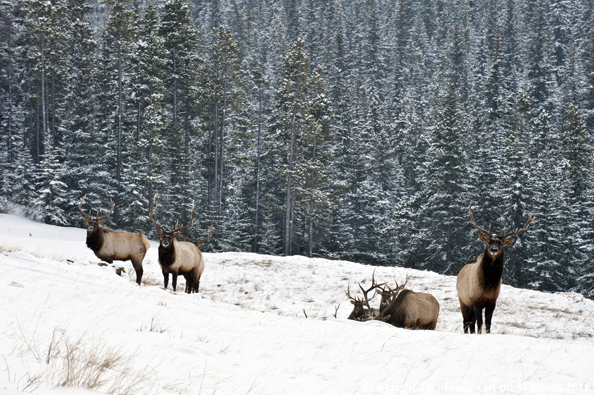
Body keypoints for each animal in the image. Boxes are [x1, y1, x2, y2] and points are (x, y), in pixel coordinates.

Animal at [456, 204, 536, 334]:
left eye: (501, 243)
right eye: (489, 242)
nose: (494, 249)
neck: (488, 284)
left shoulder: (492, 301)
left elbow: (488, 324)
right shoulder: (475, 299)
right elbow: (480, 323)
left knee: (471, 322)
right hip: (462, 299)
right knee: (465, 322)